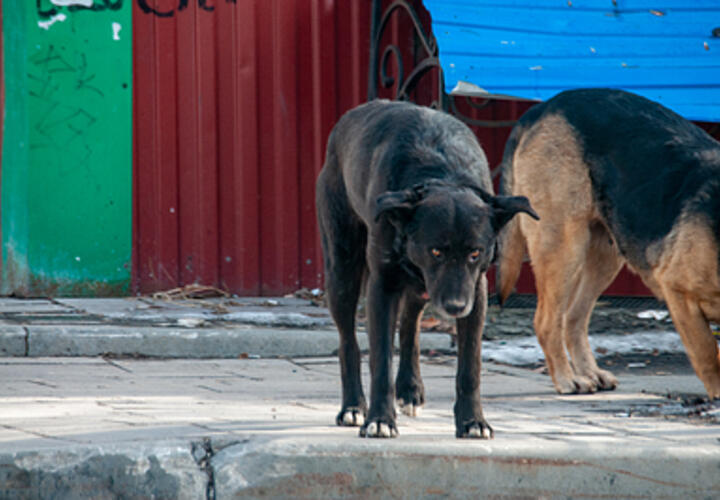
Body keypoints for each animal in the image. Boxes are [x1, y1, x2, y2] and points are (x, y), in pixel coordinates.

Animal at [316, 99, 536, 436]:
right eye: (436, 251)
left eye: (475, 253)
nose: (456, 307)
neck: (443, 174)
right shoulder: (383, 285)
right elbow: (380, 362)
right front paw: (380, 419)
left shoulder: (476, 291)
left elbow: (470, 367)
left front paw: (473, 421)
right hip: (342, 270)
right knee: (348, 342)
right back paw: (353, 406)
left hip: (422, 288)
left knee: (409, 325)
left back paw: (409, 389)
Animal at [498, 87, 720, 398]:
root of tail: (543, 107)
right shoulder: (679, 292)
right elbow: (708, 354)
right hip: (565, 246)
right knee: (547, 322)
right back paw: (567, 379)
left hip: (605, 254)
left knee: (573, 318)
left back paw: (589, 372)